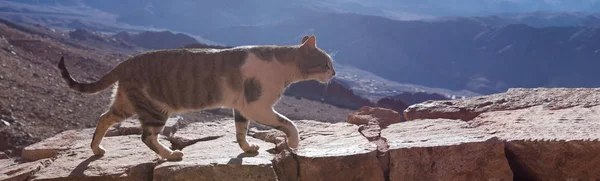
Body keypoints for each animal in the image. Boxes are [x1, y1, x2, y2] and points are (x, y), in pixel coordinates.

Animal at [58, 35, 336, 161]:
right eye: (326, 62)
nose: (334, 73)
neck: (284, 69)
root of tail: (126, 62)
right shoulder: (258, 106)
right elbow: (290, 124)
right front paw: (294, 144)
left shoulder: (242, 108)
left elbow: (241, 131)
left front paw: (247, 148)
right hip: (156, 108)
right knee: (146, 136)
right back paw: (171, 155)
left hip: (127, 102)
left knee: (104, 117)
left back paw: (96, 148)